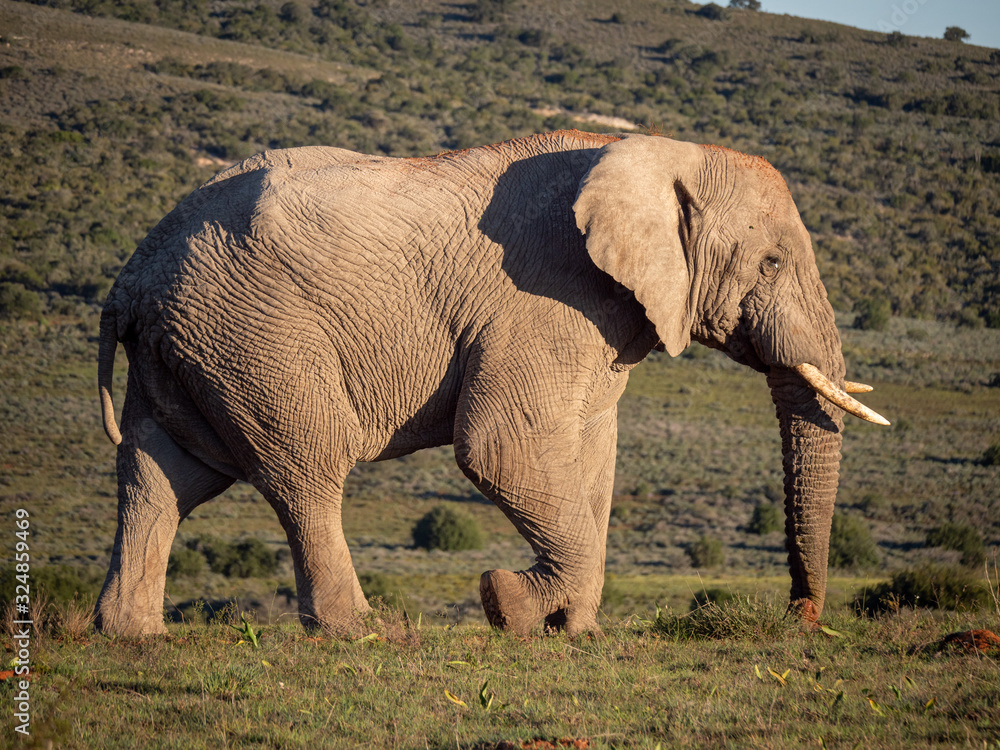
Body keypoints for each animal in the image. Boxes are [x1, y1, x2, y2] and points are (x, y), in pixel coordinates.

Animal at [95, 132, 892, 636]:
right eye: (772, 264)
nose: (799, 618)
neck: (664, 153)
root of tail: (130, 279)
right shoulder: (543, 300)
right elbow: (502, 448)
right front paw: (509, 604)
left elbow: (592, 459)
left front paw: (571, 628)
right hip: (255, 338)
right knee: (306, 472)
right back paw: (362, 632)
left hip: (194, 346)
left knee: (160, 478)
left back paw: (132, 635)